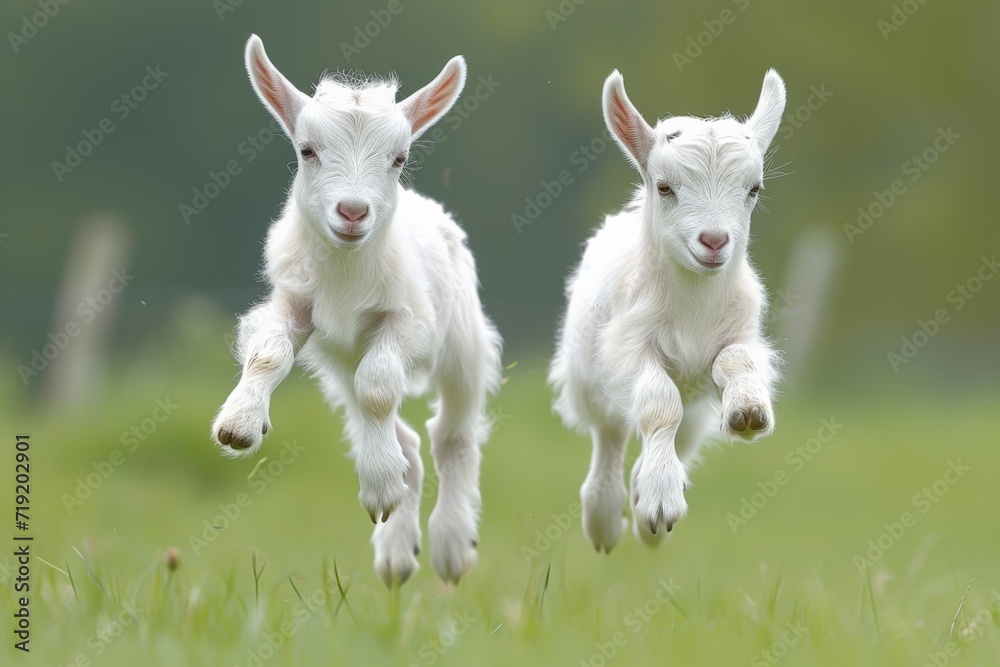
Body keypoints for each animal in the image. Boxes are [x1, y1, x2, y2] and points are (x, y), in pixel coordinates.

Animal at [211, 35, 502, 586]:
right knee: (405, 439)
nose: (352, 212)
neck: (347, 272)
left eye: (399, 158)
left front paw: (381, 485)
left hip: (462, 343)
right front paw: (240, 424)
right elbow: (269, 353)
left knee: (451, 436)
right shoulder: (296, 302)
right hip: (338, 365)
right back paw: (396, 550)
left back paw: (451, 546)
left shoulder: (410, 320)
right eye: (307, 150)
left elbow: (379, 384)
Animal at [549, 69, 786, 550]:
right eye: (664, 187)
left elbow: (737, 360)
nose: (714, 241)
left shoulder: (740, 334)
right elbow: (660, 403)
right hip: (590, 381)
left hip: (695, 413)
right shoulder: (627, 347)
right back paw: (605, 521)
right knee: (610, 437)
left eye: (754, 190)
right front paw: (659, 502)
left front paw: (748, 411)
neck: (694, 303)